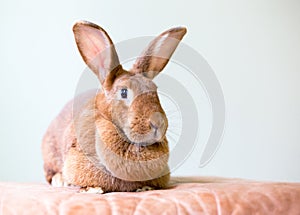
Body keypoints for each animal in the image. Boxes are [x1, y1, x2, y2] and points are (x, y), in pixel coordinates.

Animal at [41, 20, 186, 193]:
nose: (158, 124)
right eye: (124, 92)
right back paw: (60, 180)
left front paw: (145, 188)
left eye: (155, 89)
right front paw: (94, 190)